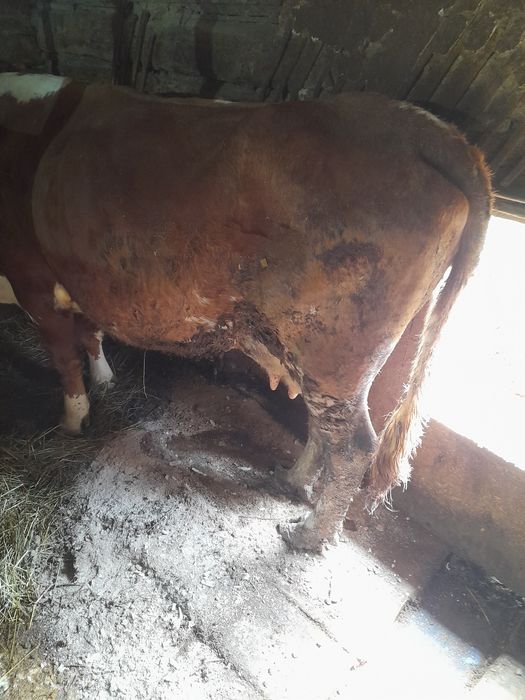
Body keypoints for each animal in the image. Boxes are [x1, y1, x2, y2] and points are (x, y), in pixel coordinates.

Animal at [0, 73, 492, 551]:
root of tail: (427, 128)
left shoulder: (33, 280)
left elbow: (64, 360)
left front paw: (73, 420)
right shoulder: (75, 278)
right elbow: (91, 334)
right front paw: (103, 380)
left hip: (333, 353)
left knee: (352, 446)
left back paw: (309, 533)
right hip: (314, 354)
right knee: (324, 430)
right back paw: (291, 480)